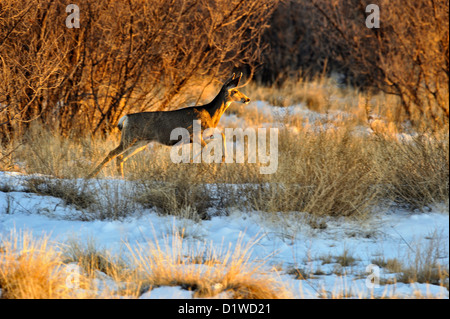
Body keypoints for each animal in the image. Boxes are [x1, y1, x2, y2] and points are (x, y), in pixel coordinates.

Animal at [87, 73, 250, 179]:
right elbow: (207, 149)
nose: (247, 99)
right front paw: (207, 167)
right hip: (130, 138)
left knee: (120, 157)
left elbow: (220, 135)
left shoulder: (200, 135)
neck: (210, 114)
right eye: (235, 90)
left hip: (141, 142)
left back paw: (121, 177)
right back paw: (90, 176)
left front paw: (220, 160)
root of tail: (126, 118)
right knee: (112, 153)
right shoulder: (194, 133)